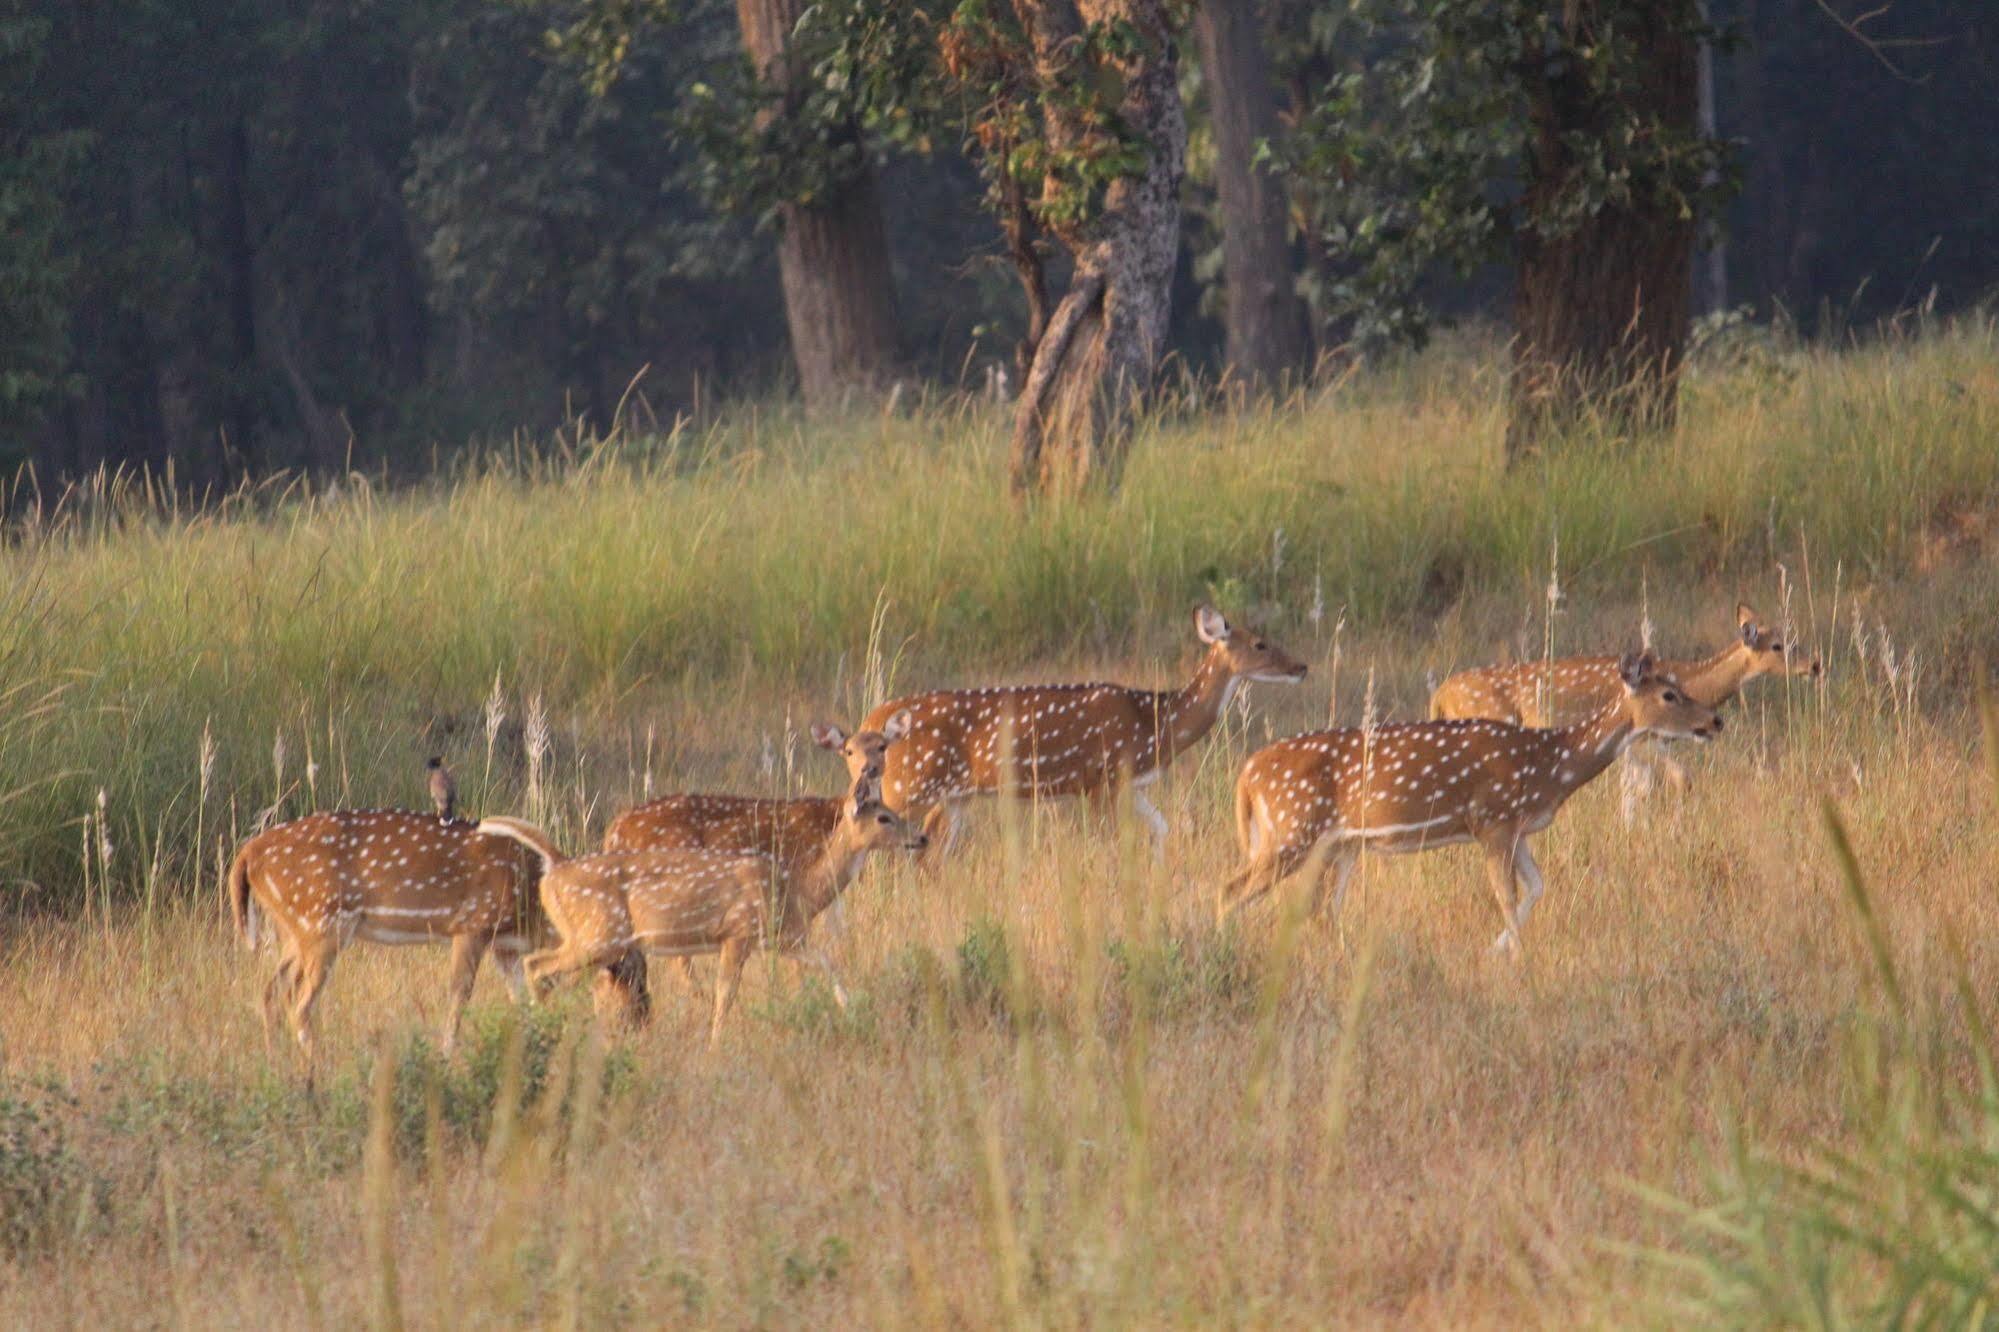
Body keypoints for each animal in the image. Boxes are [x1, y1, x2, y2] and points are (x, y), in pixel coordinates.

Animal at [225, 804, 543, 1072]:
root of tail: (247, 854)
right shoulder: (471, 925)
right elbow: (459, 997)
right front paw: (445, 1062)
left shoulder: (505, 948)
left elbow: (521, 1001)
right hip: (321, 921)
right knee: (300, 1005)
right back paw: (321, 1072)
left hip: (295, 930)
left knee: (271, 993)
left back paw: (276, 1066)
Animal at [479, 772, 923, 1040]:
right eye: (884, 817)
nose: (920, 837)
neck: (797, 889)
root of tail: (556, 865)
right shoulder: (738, 933)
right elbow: (725, 993)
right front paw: (717, 1044)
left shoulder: (782, 938)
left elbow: (828, 961)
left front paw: (850, 1009)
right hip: (599, 935)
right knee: (539, 967)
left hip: (594, 939)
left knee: (545, 970)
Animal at [863, 608, 1311, 856]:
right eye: (1260, 643)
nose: (1302, 667)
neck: (1155, 724)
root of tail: (871, 720)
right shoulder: (1101, 779)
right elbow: (1106, 844)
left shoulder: (1130, 784)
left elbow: (1162, 830)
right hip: (909, 786)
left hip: (953, 797)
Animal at [1207, 648, 1727, 948]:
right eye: (1669, 694)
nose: (1716, 720)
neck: (1549, 765)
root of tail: (1247, 775)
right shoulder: (1492, 819)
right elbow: (1506, 896)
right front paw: (1519, 960)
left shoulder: (1517, 828)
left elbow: (1537, 887)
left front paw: (1498, 951)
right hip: (1292, 830)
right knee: (1229, 889)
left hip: (1334, 843)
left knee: (1320, 908)